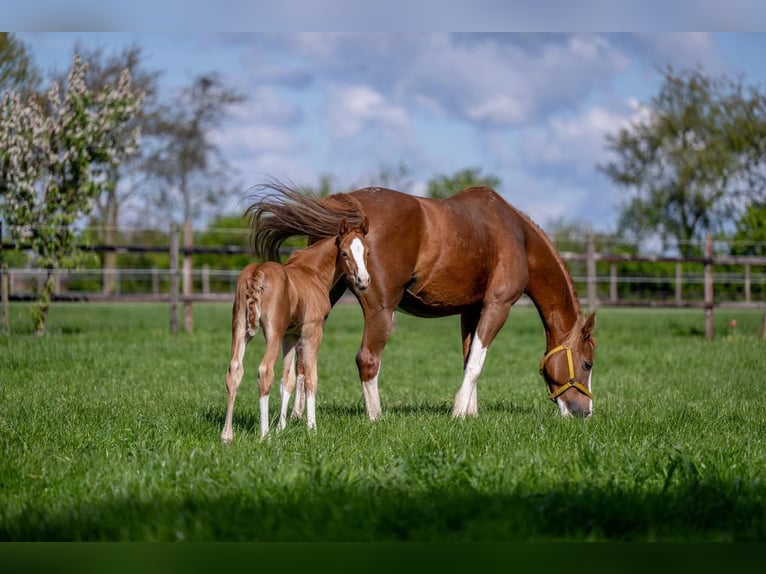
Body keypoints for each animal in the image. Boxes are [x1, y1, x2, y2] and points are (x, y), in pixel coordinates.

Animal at [220, 218, 370, 444]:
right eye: (344, 253)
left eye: (367, 252)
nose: (363, 280)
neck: (312, 272)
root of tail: (257, 273)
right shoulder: (312, 331)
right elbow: (310, 377)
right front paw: (312, 428)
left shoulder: (289, 335)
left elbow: (288, 380)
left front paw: (281, 427)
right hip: (272, 332)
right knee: (265, 371)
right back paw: (264, 435)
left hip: (240, 328)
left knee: (235, 371)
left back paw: (227, 435)